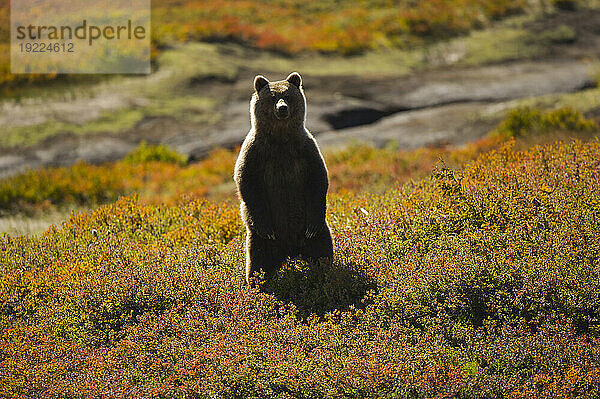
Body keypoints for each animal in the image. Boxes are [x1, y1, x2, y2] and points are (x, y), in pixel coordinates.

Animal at [233, 72, 332, 288]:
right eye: (272, 97)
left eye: (287, 96)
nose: (282, 108)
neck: (280, 139)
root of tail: (291, 251)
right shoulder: (255, 152)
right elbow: (246, 181)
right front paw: (267, 228)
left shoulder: (305, 149)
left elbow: (318, 179)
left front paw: (312, 227)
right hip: (260, 243)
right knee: (257, 263)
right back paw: (256, 286)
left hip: (317, 234)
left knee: (323, 252)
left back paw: (328, 277)